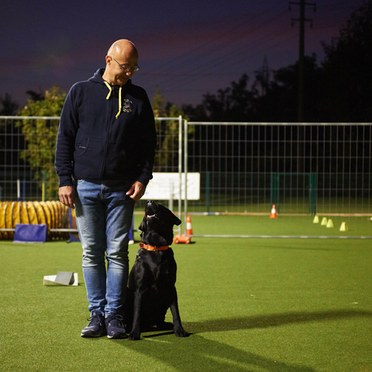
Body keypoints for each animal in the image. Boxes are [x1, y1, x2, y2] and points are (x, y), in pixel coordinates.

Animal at [125, 201, 189, 340]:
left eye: (161, 206)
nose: (149, 201)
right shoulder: (139, 289)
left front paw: (179, 330)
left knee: (159, 320)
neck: (156, 247)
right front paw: (134, 333)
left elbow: (176, 312)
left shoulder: (171, 287)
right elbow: (137, 313)